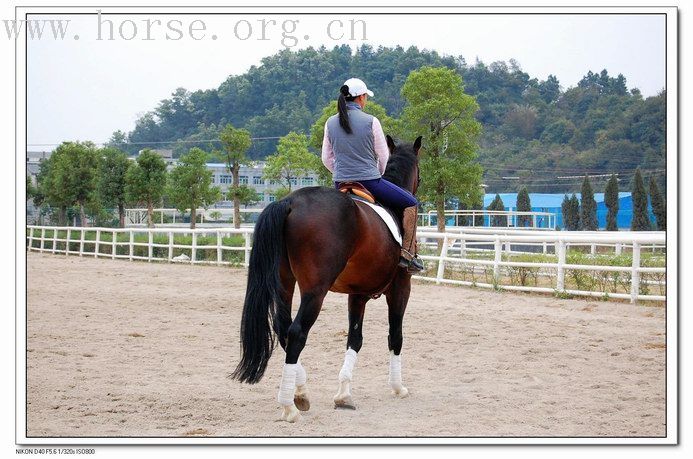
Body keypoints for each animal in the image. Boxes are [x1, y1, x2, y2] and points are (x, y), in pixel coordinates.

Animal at [231, 135, 422, 422]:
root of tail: (290, 203)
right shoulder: (400, 288)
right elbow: (395, 336)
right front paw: (398, 387)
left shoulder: (357, 294)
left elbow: (355, 338)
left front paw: (343, 395)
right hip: (315, 290)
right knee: (297, 332)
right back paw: (288, 406)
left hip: (285, 283)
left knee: (283, 328)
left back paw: (301, 392)